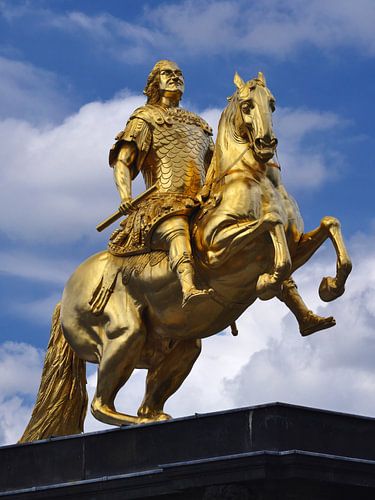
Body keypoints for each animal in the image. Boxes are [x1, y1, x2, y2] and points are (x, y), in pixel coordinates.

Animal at [20, 73, 352, 442]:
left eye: (273, 103)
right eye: (247, 105)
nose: (266, 143)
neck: (255, 179)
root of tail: (64, 298)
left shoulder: (297, 244)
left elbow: (328, 225)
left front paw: (329, 289)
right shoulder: (217, 251)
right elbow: (271, 224)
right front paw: (268, 281)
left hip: (180, 346)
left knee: (146, 402)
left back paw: (156, 417)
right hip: (124, 335)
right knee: (100, 404)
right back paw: (140, 420)